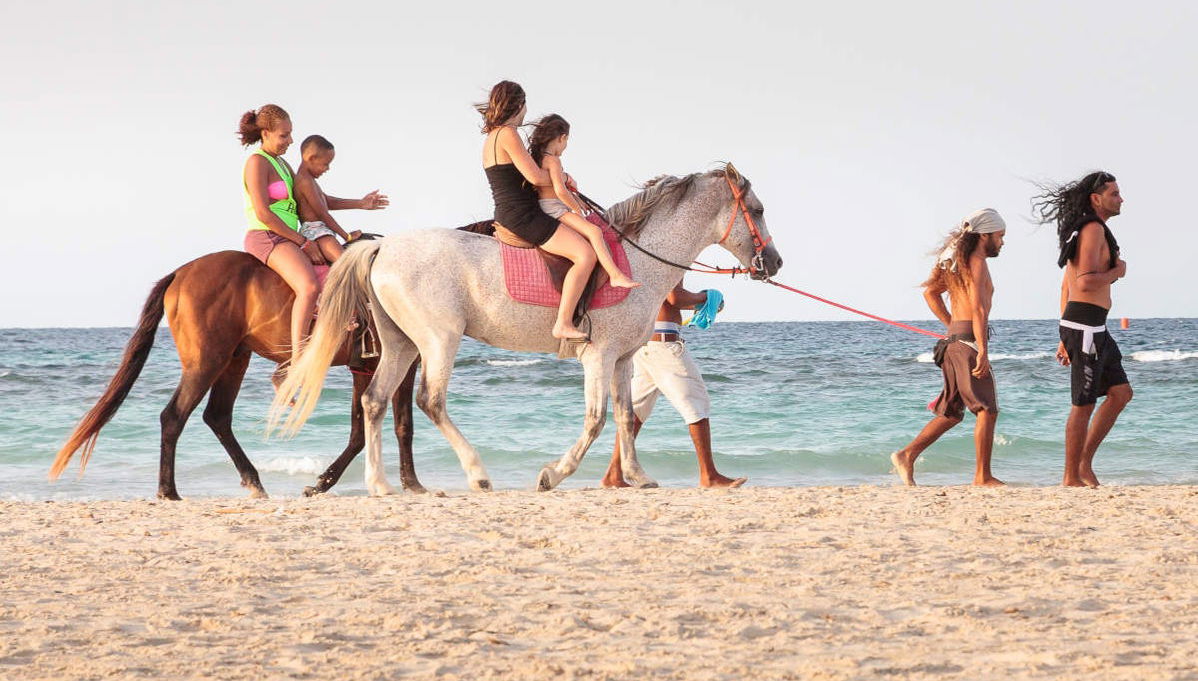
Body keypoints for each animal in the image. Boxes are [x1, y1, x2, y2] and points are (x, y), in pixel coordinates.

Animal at [48, 249, 425, 500]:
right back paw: (168, 490)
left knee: (217, 416)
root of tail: (180, 273)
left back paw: (252, 480)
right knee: (174, 416)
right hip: (206, 362)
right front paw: (410, 483)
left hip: (234, 360)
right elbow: (397, 426)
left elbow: (365, 430)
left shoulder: (366, 367)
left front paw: (325, 482)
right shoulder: (399, 363)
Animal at [272, 164, 782, 494]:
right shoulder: (598, 356)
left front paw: (637, 477)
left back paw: (378, 485)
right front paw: (553, 474)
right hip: (439, 340)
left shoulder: (622, 358)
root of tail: (382, 247)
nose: (774, 262)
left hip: (401, 344)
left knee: (374, 402)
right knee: (429, 401)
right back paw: (476, 473)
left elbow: (624, 418)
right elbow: (596, 419)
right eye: (757, 209)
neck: (635, 261)